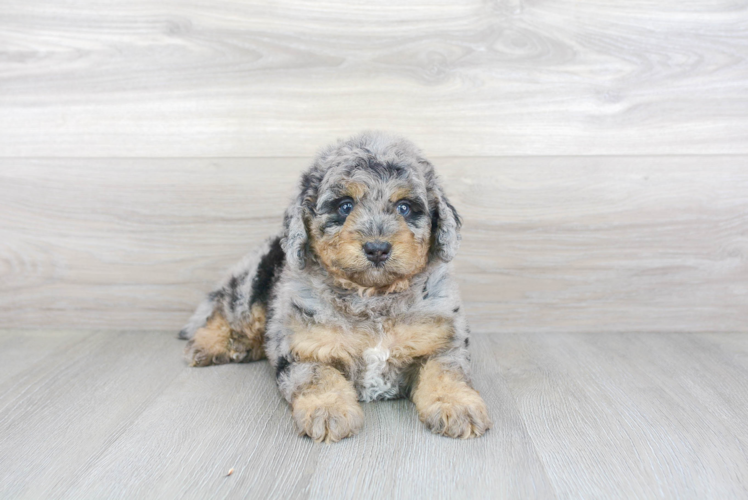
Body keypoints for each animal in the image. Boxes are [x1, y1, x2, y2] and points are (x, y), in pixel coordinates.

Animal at [179, 130, 494, 442]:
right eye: (345, 206)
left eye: (404, 207)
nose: (377, 248)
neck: (373, 298)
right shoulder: (302, 348)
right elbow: (319, 376)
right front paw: (328, 412)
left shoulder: (442, 342)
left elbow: (446, 371)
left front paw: (457, 406)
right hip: (253, 283)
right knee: (224, 307)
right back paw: (209, 345)